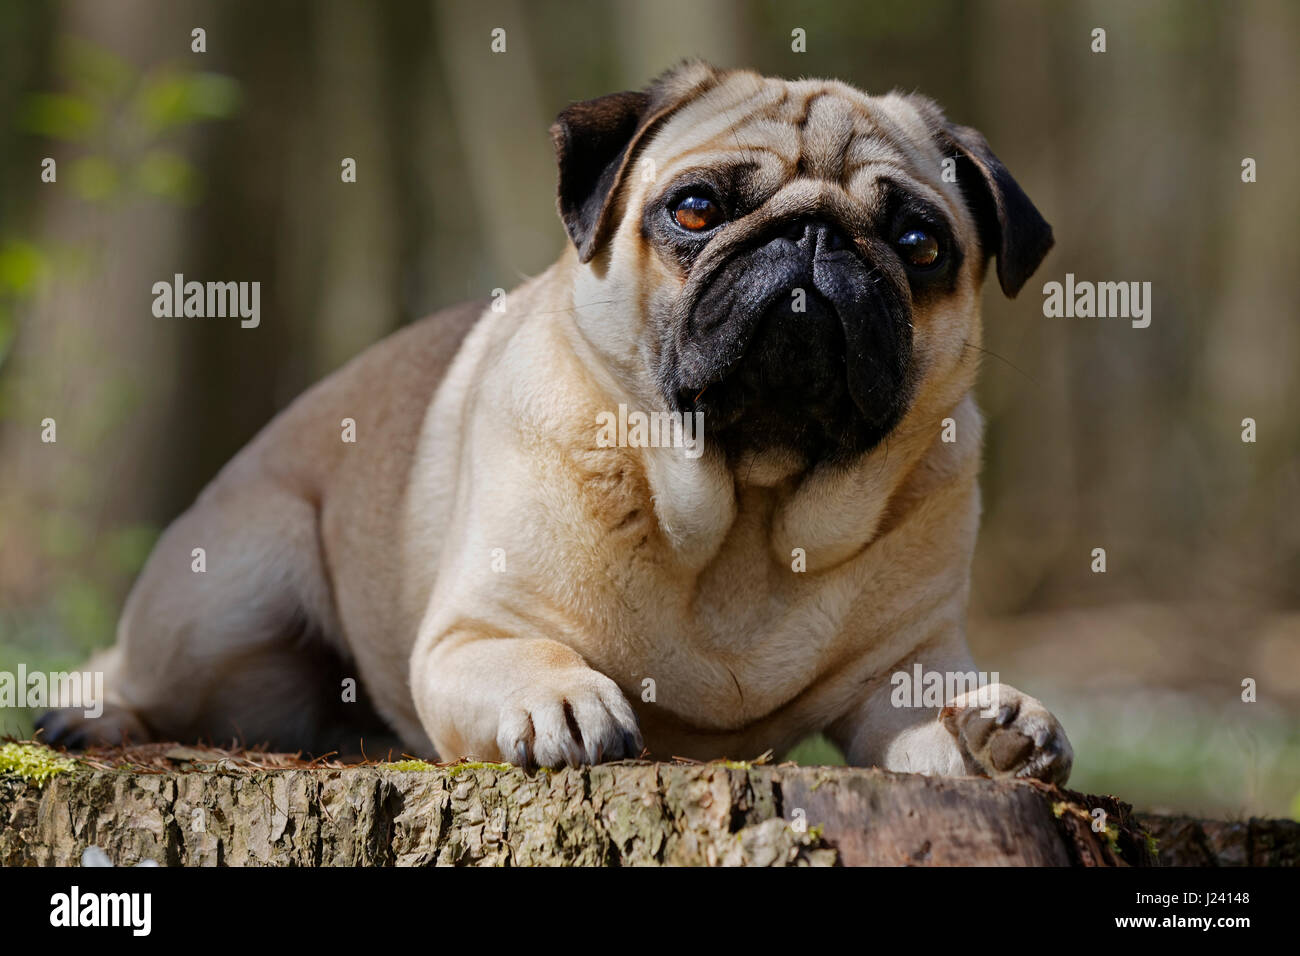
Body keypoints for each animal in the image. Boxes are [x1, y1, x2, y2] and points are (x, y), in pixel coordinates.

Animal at [43, 59, 1076, 780]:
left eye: (920, 243)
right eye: (694, 209)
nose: (812, 233)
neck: (747, 507)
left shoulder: (903, 669)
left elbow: (933, 707)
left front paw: (999, 728)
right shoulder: (473, 634)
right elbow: (528, 652)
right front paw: (560, 697)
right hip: (224, 596)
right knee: (141, 667)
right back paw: (89, 712)